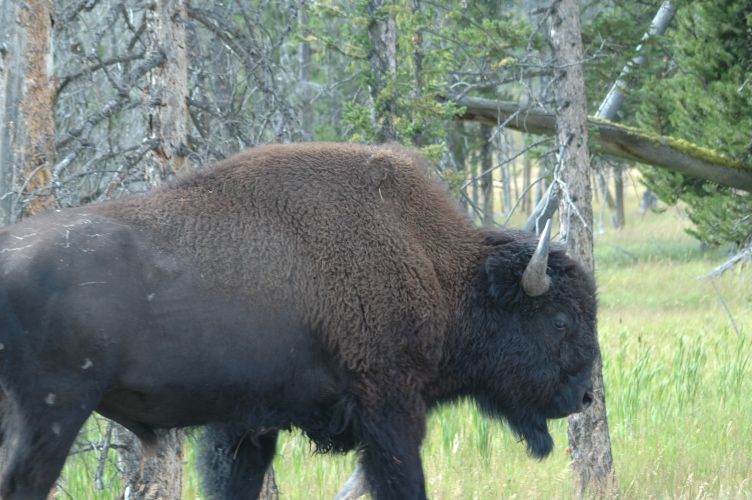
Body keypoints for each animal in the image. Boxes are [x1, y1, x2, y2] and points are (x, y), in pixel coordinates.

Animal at [0, 143, 597, 499]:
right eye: (560, 321)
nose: (586, 396)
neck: (435, 266)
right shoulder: (389, 410)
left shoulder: (245, 424)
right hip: (51, 415)